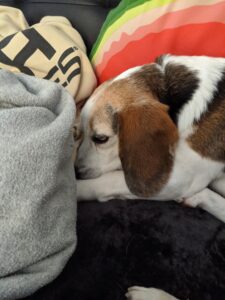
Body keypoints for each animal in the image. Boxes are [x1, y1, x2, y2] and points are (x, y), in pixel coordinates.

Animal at [76, 55, 225, 300]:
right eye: (78, 133)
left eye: (100, 138)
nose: (76, 170)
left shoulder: (177, 177)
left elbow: (108, 181)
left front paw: (73, 189)